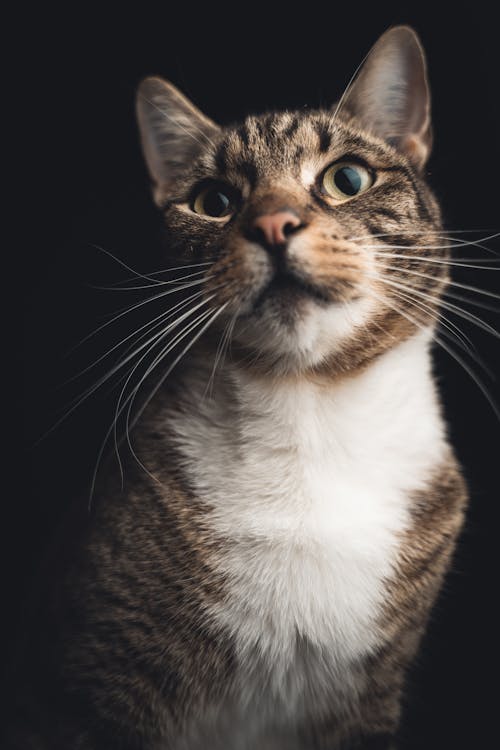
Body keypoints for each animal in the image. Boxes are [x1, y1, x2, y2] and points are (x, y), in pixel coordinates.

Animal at [8, 23, 468, 750]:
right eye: (214, 203)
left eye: (347, 179)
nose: (273, 224)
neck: (309, 421)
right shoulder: (98, 679)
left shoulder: (361, 705)